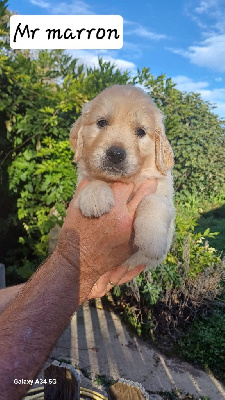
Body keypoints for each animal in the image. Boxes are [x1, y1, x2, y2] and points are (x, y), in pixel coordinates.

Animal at [69, 85, 175, 270]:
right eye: (102, 122)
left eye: (140, 131)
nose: (116, 154)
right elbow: (93, 180)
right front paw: (95, 197)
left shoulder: (166, 197)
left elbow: (153, 200)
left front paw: (151, 242)